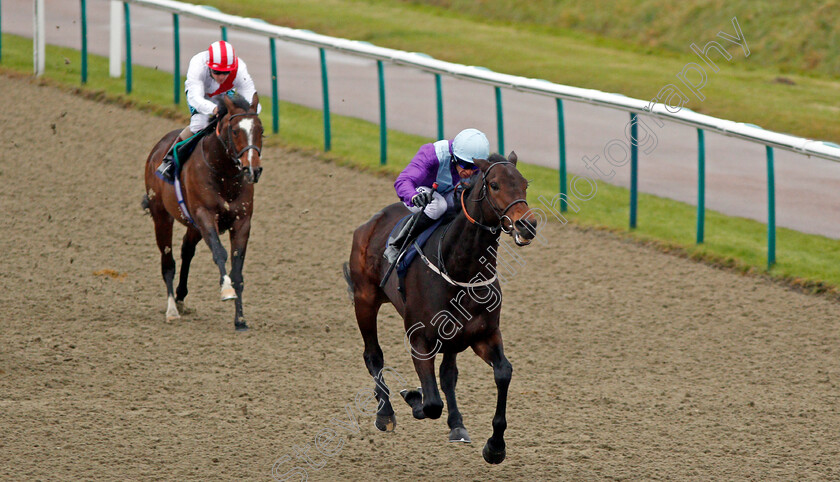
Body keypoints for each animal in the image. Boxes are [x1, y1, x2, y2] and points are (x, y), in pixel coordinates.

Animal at [142, 92, 262, 330]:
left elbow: (237, 267)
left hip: (193, 225)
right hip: (162, 216)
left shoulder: (242, 221)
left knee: (186, 250)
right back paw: (172, 309)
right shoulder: (205, 215)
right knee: (168, 262)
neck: (224, 175)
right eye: (236, 131)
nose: (253, 169)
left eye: (260, 130)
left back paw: (180, 298)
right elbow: (219, 253)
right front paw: (226, 290)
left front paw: (240, 319)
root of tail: (156, 149)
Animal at [346, 153, 540, 466]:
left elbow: (502, 372)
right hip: (365, 299)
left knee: (448, 374)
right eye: (495, 185)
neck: (461, 268)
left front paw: (495, 446)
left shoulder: (483, 335)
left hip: (453, 337)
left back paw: (457, 424)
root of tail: (371, 222)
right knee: (373, 356)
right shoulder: (420, 340)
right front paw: (413, 397)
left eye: (524, 184)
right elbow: (431, 402)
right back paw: (385, 412)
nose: (527, 225)